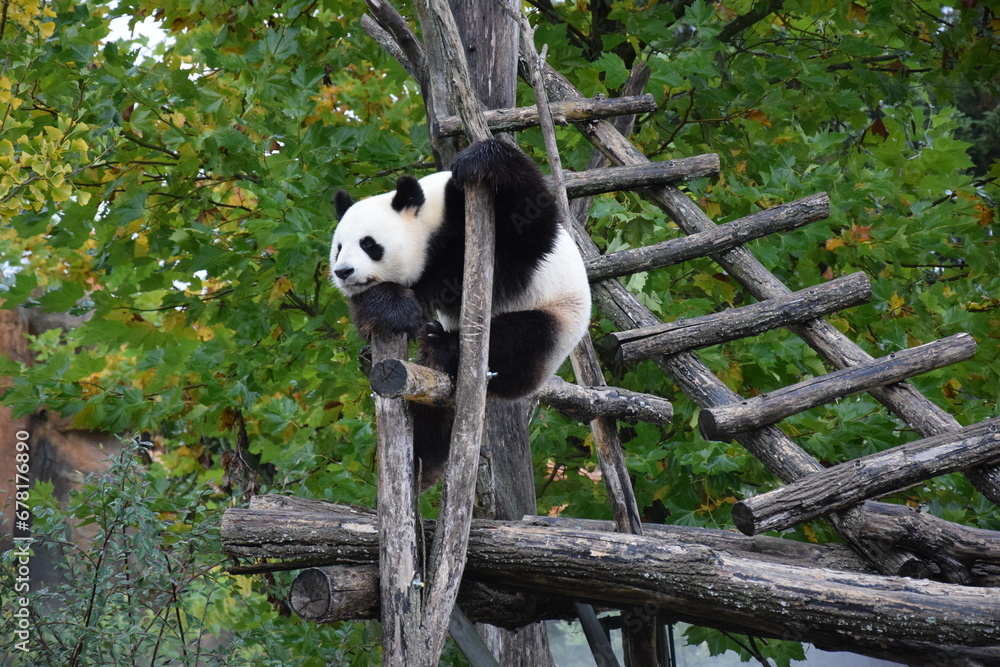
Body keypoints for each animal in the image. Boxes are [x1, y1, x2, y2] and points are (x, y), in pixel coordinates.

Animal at [330, 138, 591, 486]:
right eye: (338, 248)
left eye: (369, 244)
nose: (343, 272)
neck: (431, 220)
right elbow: (383, 304)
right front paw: (396, 311)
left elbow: (530, 223)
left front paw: (478, 160)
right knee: (430, 417)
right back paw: (422, 460)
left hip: (558, 322)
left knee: (519, 340)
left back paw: (441, 344)